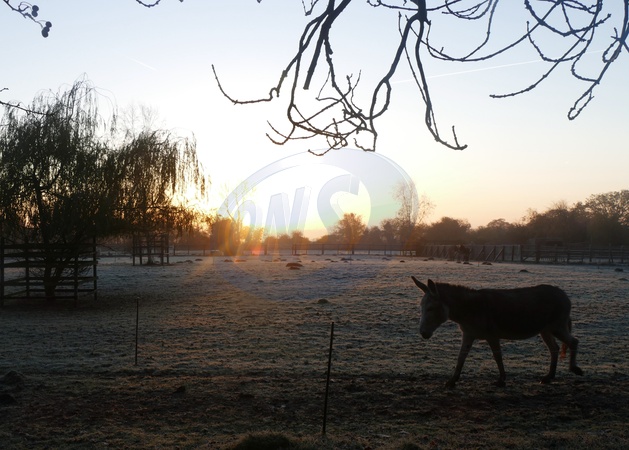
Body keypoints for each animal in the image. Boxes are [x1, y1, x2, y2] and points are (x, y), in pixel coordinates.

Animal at [411, 277, 583, 388]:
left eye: (430, 308)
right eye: (421, 307)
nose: (423, 333)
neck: (470, 309)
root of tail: (563, 294)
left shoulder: (492, 335)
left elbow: (497, 356)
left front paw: (501, 380)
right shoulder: (468, 334)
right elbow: (461, 357)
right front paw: (452, 381)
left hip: (557, 326)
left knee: (573, 341)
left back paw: (574, 369)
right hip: (545, 330)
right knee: (554, 348)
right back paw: (549, 377)